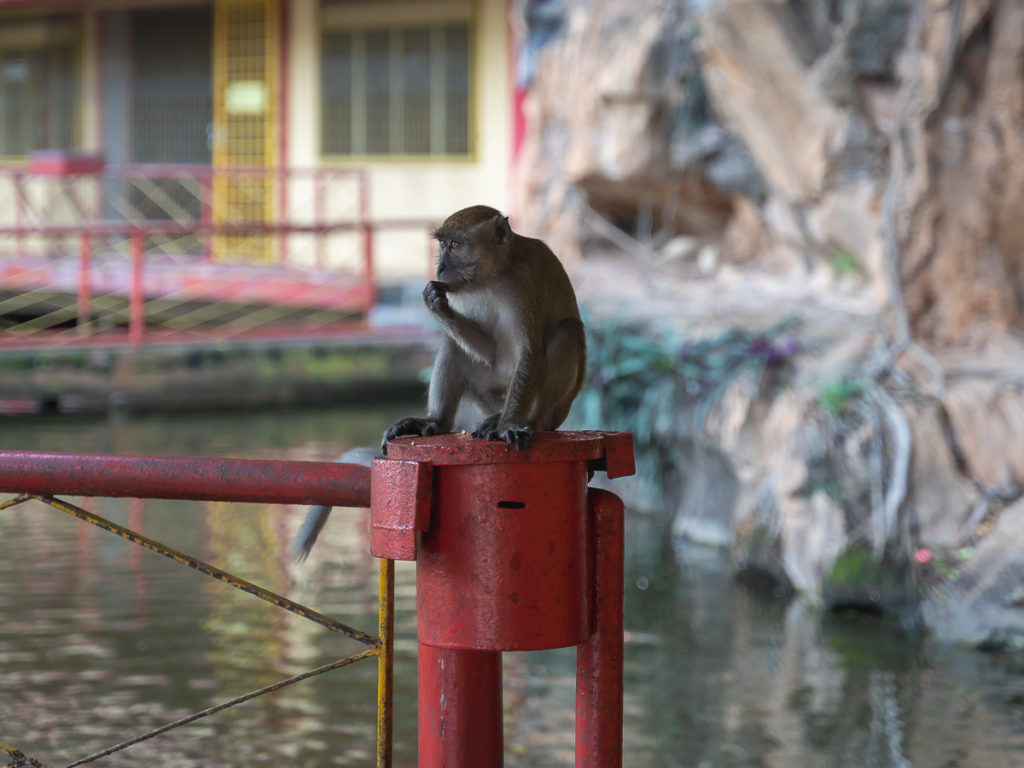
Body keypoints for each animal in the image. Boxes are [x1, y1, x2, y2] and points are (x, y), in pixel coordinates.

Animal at [380, 204, 585, 454]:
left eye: (455, 245)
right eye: (442, 244)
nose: (440, 268)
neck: (494, 275)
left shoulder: (527, 282)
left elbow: (530, 353)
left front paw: (509, 426)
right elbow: (489, 351)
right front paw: (435, 303)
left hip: (551, 412)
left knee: (569, 331)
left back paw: (524, 421)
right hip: (489, 396)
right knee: (453, 344)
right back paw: (436, 422)